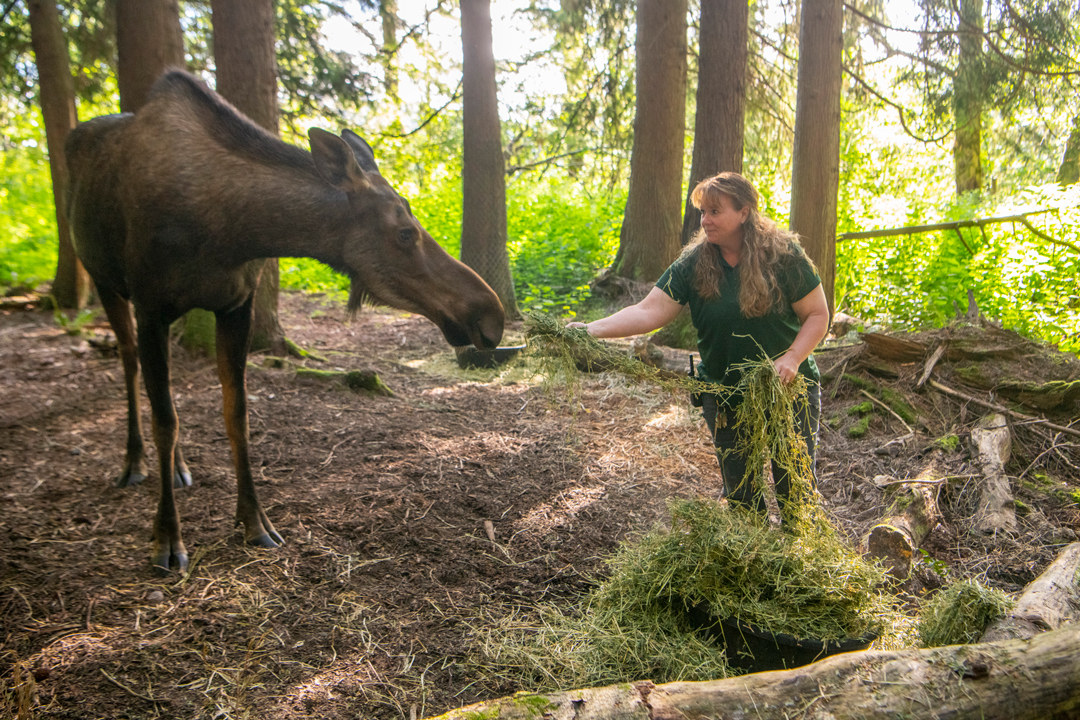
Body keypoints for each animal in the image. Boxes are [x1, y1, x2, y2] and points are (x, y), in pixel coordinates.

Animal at [65, 70, 504, 574]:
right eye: (404, 232)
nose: (491, 314)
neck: (232, 231)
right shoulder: (151, 306)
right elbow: (166, 421)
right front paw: (167, 538)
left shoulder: (237, 304)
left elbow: (236, 413)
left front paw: (255, 521)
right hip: (103, 280)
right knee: (130, 363)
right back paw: (135, 462)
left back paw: (176, 468)